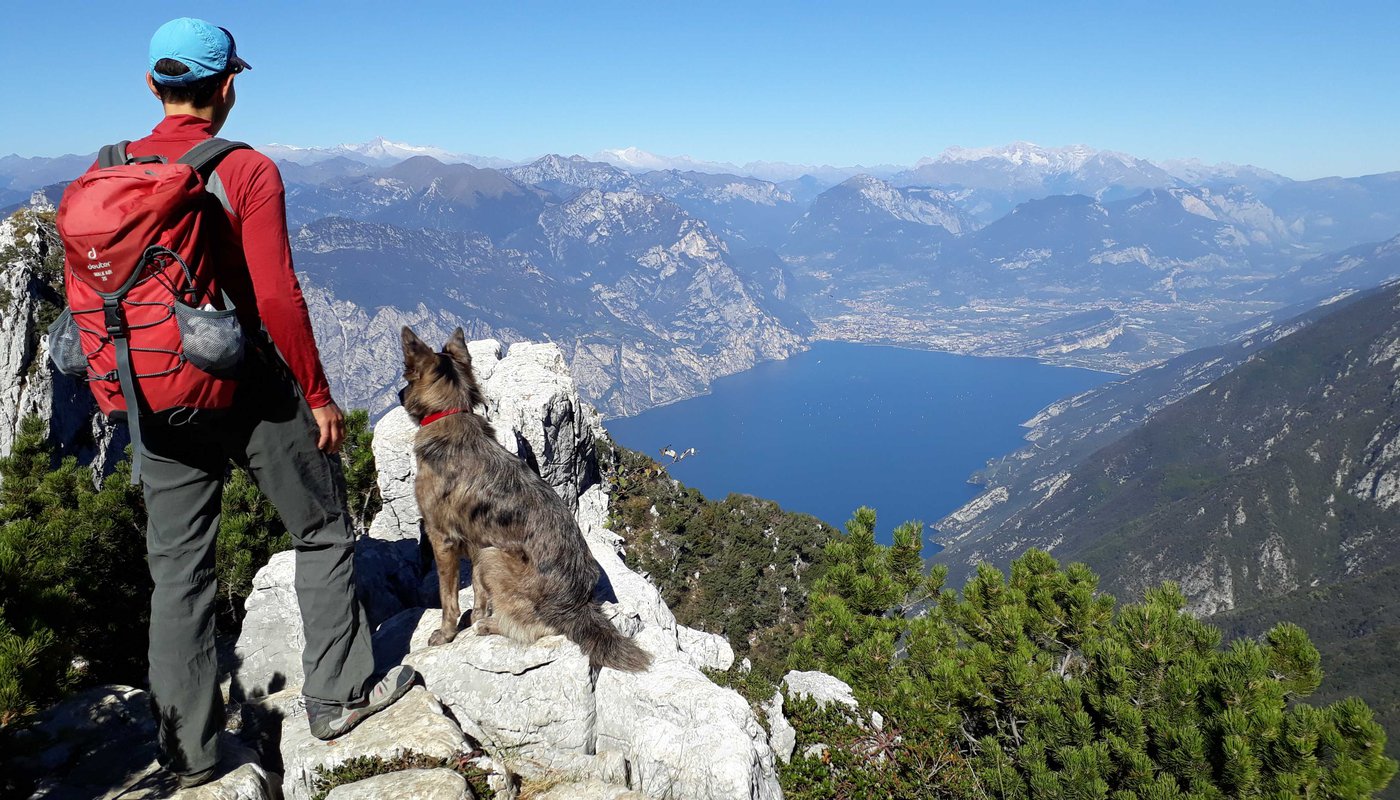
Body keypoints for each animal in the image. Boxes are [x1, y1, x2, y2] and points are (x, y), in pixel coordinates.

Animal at [400, 322, 649, 672]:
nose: (399, 395)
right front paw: (476, 613)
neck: (450, 414)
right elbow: (479, 592)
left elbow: (448, 597)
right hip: (489, 553)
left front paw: (447, 632)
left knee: (535, 628)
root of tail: (579, 606)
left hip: (493, 556)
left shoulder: (442, 538)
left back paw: (490, 625)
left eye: (408, 377)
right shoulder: (476, 541)